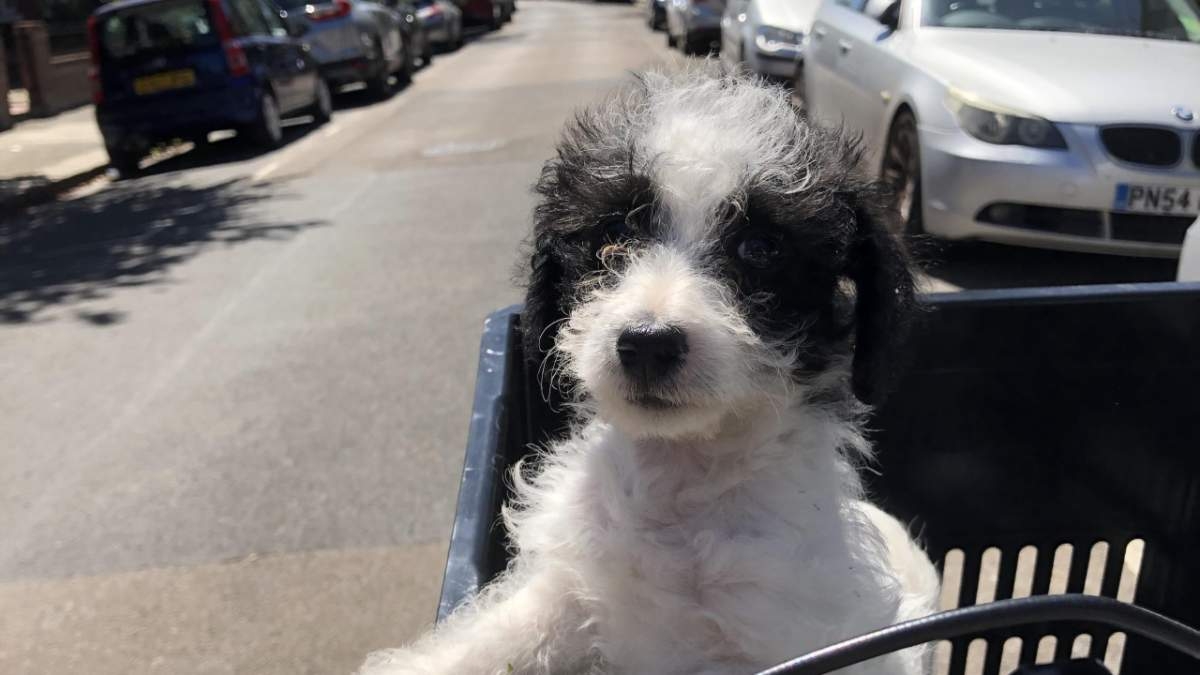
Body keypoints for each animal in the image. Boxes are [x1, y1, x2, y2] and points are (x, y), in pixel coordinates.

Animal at [360, 63, 940, 672]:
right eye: (613, 240)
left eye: (760, 248)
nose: (647, 345)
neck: (680, 481)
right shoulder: (569, 584)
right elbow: (499, 638)